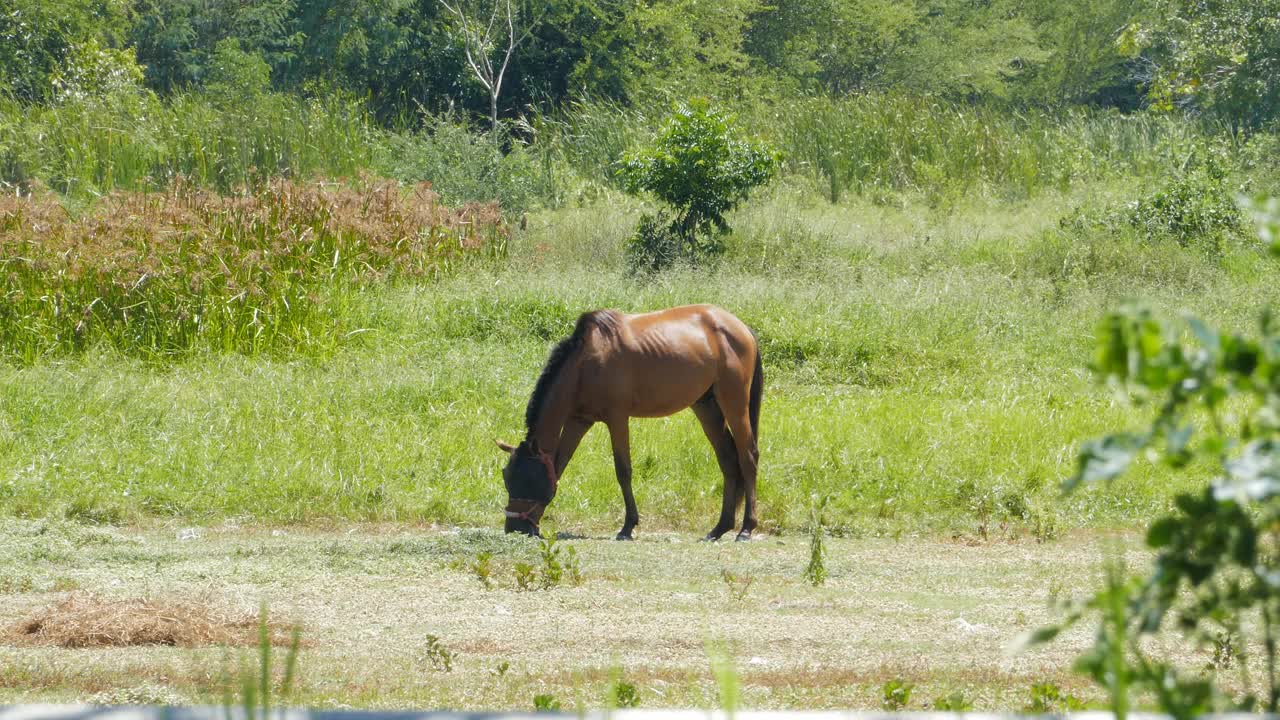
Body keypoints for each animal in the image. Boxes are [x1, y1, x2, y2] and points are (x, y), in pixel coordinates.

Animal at [496, 301, 757, 538]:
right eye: (506, 476)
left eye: (528, 479)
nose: (515, 529)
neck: (586, 363)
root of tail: (742, 327)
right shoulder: (578, 421)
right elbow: (559, 466)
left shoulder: (617, 419)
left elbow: (623, 470)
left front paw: (628, 526)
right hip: (706, 407)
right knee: (728, 459)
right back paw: (720, 528)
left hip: (734, 405)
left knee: (748, 457)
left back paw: (746, 528)